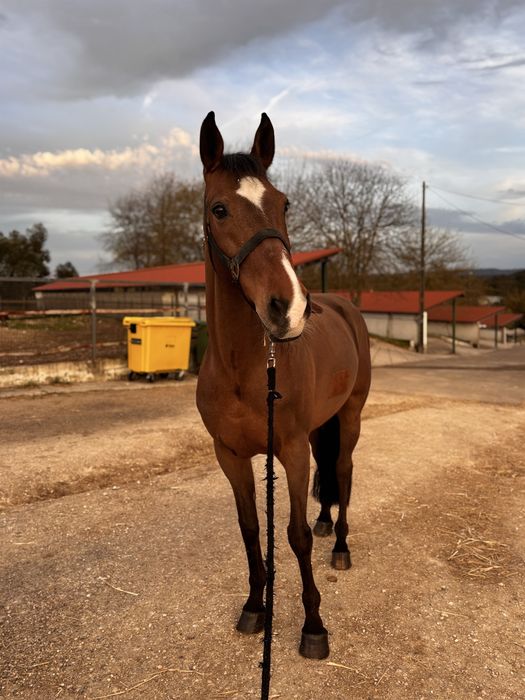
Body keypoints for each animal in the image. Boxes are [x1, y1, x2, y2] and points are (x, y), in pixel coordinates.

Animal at [196, 111, 371, 660]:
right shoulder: (230, 454)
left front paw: (313, 626)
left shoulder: (289, 450)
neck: (242, 370)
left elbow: (294, 536)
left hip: (350, 418)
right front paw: (255, 606)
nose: (289, 307)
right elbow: (252, 530)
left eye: (284, 203)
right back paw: (326, 521)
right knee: (329, 474)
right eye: (220, 208)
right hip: (320, 427)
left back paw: (341, 544)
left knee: (344, 471)